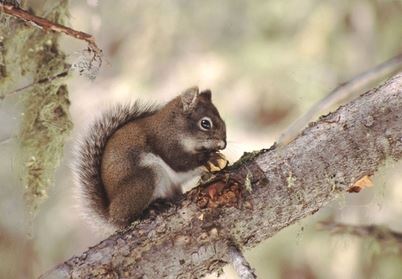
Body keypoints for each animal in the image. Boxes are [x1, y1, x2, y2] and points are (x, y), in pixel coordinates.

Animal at [72, 87, 226, 232]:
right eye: (205, 123)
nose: (223, 145)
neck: (175, 128)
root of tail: (110, 214)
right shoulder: (166, 145)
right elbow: (180, 163)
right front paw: (209, 157)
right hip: (144, 179)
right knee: (126, 218)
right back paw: (150, 209)